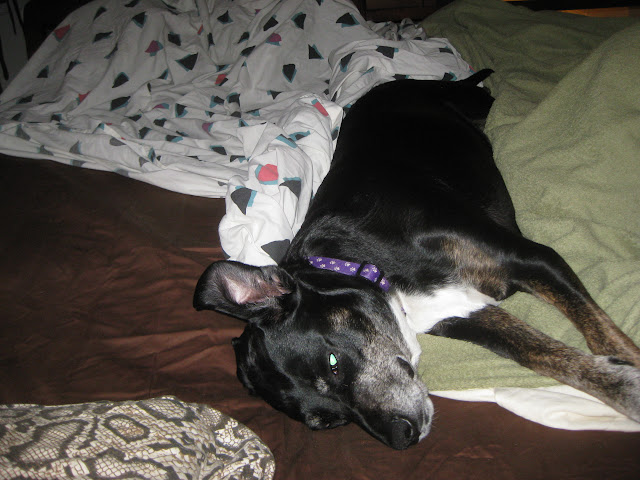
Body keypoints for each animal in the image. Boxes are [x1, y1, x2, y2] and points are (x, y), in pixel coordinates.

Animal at [193, 71, 640, 450]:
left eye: (333, 365)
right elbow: (541, 354)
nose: (400, 438)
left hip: (477, 101)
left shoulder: (531, 258)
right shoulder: (464, 311)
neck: (367, 266)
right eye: (330, 421)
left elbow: (600, 334)